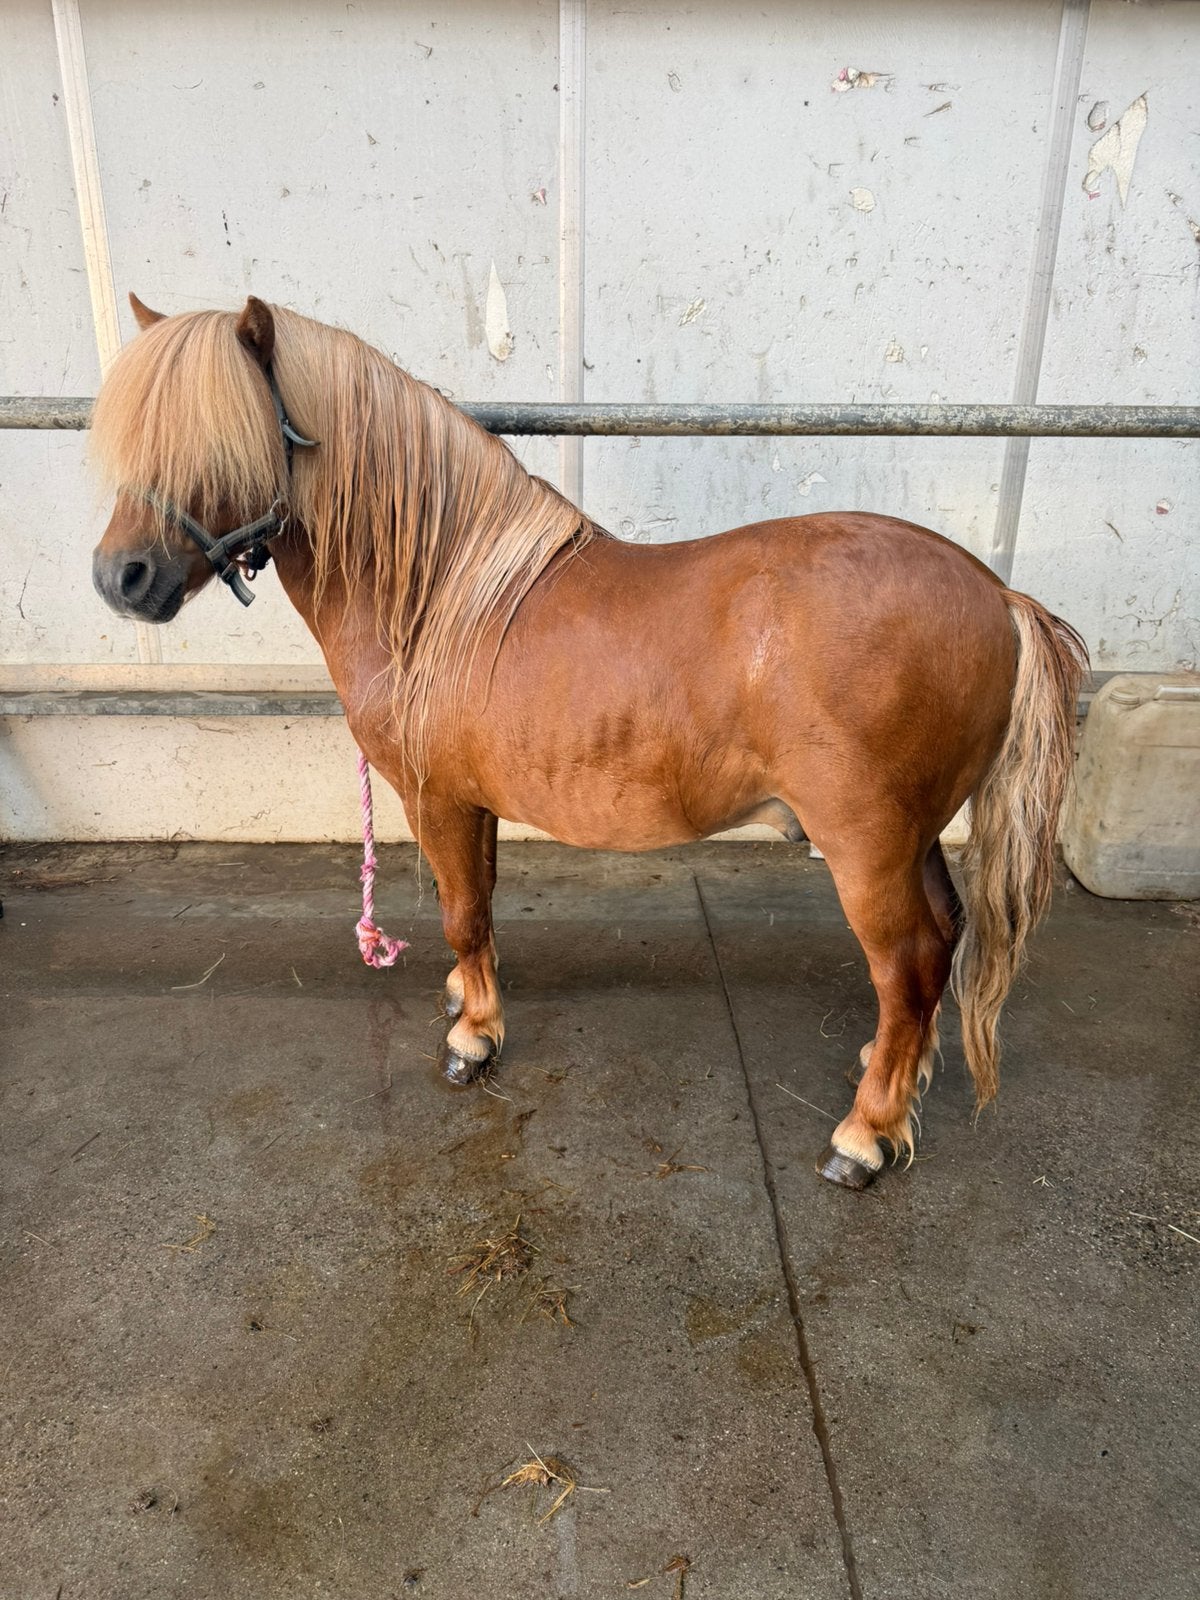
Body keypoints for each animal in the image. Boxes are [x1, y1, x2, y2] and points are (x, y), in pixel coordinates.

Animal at [89, 294, 1088, 1190]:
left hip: (866, 845)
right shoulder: (474, 802)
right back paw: (896, 1076)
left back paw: (865, 1134)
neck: (440, 596)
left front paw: (473, 1040)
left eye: (221, 440)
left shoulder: (436, 798)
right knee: (942, 945)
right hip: (913, 836)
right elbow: (478, 905)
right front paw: (470, 997)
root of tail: (997, 596)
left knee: (908, 963)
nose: (119, 578)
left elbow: (461, 913)